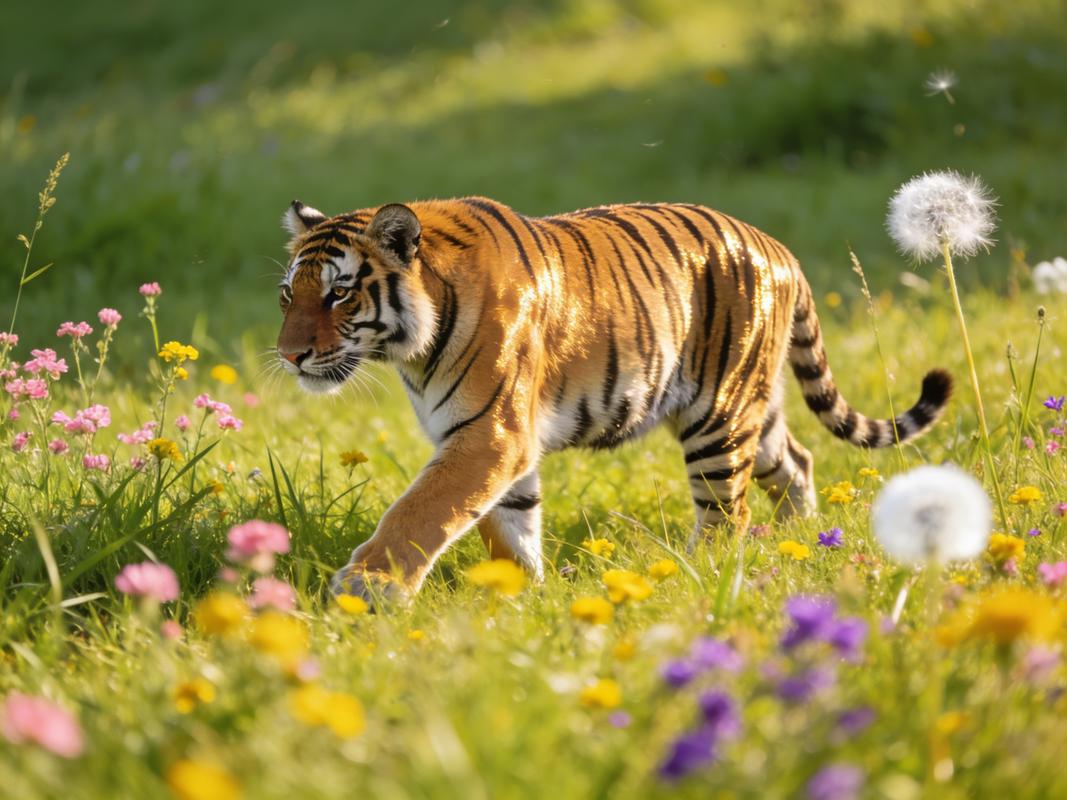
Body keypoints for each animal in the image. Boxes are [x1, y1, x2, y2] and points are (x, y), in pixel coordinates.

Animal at [275, 197, 951, 601]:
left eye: (338, 294)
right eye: (288, 295)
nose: (289, 356)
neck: (411, 350)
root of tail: (777, 248)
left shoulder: (490, 434)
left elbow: (421, 510)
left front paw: (366, 588)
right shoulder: (490, 442)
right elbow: (506, 523)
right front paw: (521, 600)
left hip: (719, 416)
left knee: (725, 514)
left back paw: (700, 575)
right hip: (755, 407)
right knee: (798, 462)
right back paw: (801, 541)